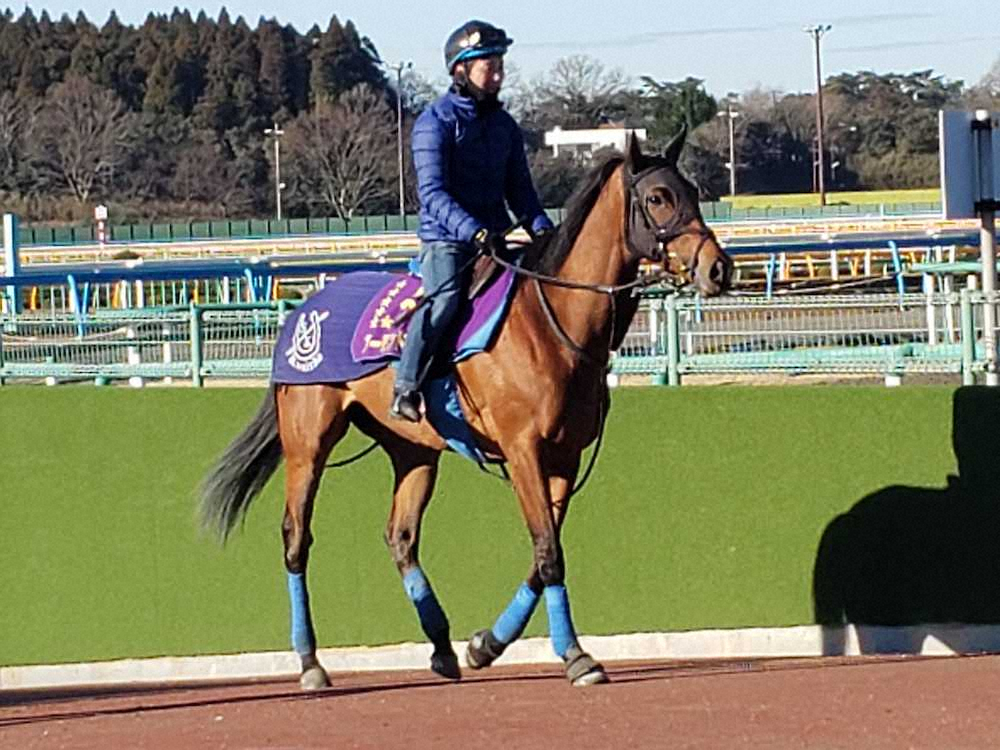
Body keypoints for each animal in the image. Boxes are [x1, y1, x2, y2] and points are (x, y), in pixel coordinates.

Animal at [200, 130, 732, 689]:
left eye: (693, 192)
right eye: (658, 197)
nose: (719, 267)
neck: (552, 322)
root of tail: (301, 313)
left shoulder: (563, 458)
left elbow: (542, 554)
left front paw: (485, 644)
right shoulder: (523, 451)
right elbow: (549, 554)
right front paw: (575, 655)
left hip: (413, 450)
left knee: (401, 537)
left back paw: (440, 645)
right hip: (308, 443)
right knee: (296, 538)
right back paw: (310, 662)